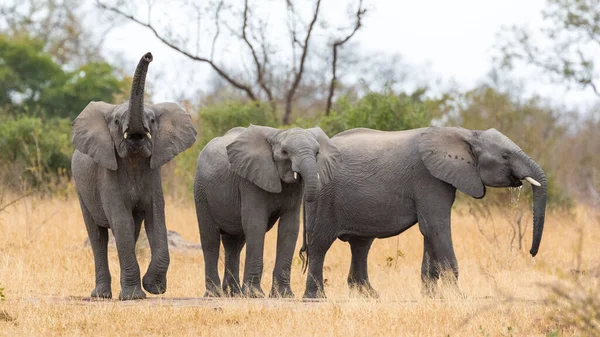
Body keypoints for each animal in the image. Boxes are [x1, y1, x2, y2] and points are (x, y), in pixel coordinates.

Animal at [71, 52, 196, 300]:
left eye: (153, 120)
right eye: (117, 122)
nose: (148, 55)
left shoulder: (153, 173)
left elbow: (156, 218)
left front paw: (154, 287)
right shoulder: (106, 176)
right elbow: (121, 221)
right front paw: (133, 296)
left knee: (133, 229)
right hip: (81, 189)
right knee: (98, 236)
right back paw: (101, 295)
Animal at [195, 124, 340, 296]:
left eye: (317, 153)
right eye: (284, 152)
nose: (304, 251)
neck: (277, 135)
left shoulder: (295, 190)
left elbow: (289, 228)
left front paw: (284, 295)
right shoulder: (250, 181)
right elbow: (255, 225)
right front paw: (254, 295)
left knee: (234, 244)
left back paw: (234, 294)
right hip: (201, 192)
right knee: (211, 241)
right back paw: (214, 294)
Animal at [300, 126, 548, 296]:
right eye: (505, 156)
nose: (531, 253)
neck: (465, 134)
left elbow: (429, 233)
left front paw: (432, 297)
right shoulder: (428, 179)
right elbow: (436, 228)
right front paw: (458, 299)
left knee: (361, 245)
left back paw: (370, 297)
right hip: (323, 197)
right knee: (320, 245)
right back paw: (316, 299)